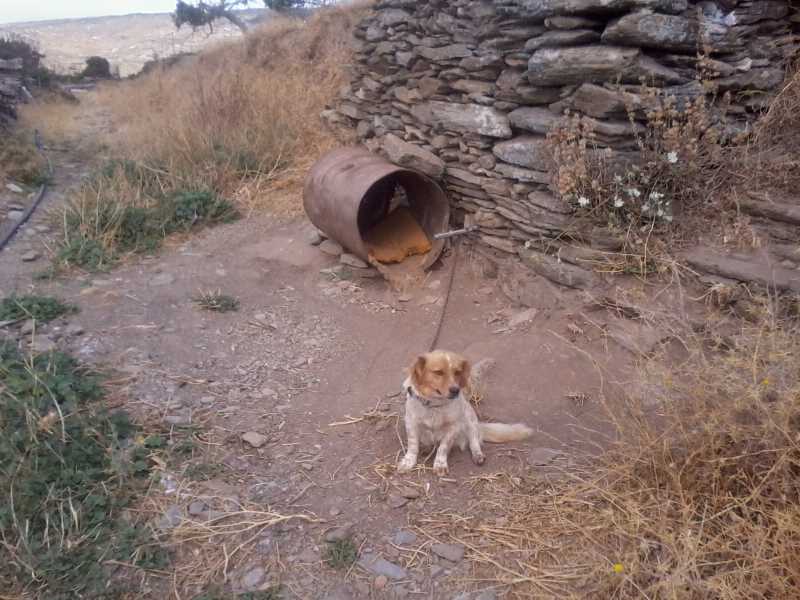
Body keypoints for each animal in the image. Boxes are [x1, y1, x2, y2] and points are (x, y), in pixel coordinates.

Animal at [396, 350, 532, 476]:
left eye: (457, 372)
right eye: (438, 372)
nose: (455, 390)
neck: (435, 404)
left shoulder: (453, 427)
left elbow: (443, 447)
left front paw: (440, 464)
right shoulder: (411, 423)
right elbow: (413, 446)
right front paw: (408, 462)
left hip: (470, 420)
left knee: (474, 441)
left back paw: (477, 455)